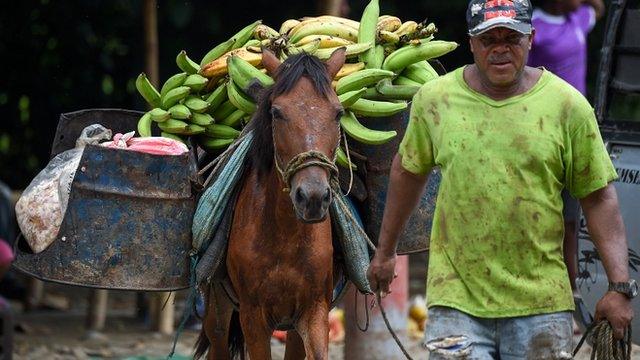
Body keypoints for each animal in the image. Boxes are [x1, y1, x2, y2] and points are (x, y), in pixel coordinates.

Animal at [194, 48, 344, 360]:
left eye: (338, 113)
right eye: (277, 113)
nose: (312, 197)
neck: (285, 233)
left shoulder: (314, 311)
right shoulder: (253, 316)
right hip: (217, 305)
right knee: (218, 341)